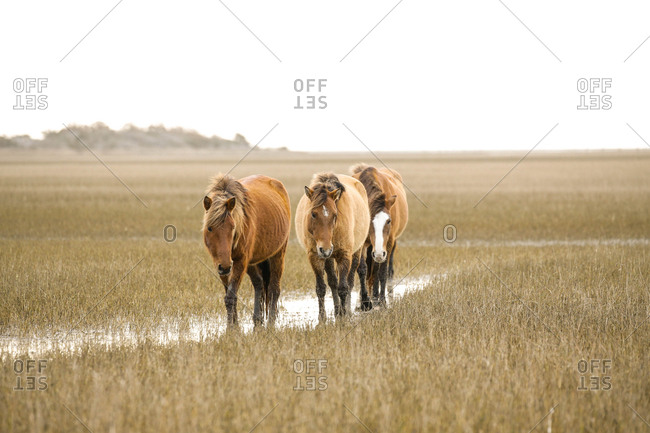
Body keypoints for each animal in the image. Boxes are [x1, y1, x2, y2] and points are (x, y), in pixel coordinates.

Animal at [202, 174, 291, 327]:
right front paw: (235, 323)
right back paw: (257, 319)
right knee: (259, 283)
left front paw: (231, 328)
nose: (225, 266)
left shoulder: (240, 262)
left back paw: (271, 322)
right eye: (209, 228)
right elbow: (229, 292)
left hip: (277, 255)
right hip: (252, 262)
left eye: (233, 227)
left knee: (274, 289)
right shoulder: (220, 265)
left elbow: (230, 296)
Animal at [295, 173, 370, 322]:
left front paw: (344, 315)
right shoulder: (315, 256)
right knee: (333, 282)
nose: (325, 249)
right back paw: (337, 311)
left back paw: (347, 310)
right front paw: (322, 317)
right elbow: (321, 288)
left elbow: (344, 287)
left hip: (356, 252)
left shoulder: (344, 255)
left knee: (351, 279)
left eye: (335, 215)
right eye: (313, 214)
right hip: (328, 258)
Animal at [351, 164, 408, 308]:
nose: (378, 253)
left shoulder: (388, 243)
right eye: (368, 221)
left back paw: (378, 296)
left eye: (388, 221)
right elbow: (362, 269)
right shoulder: (363, 244)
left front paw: (381, 300)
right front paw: (365, 302)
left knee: (383, 269)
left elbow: (382, 272)